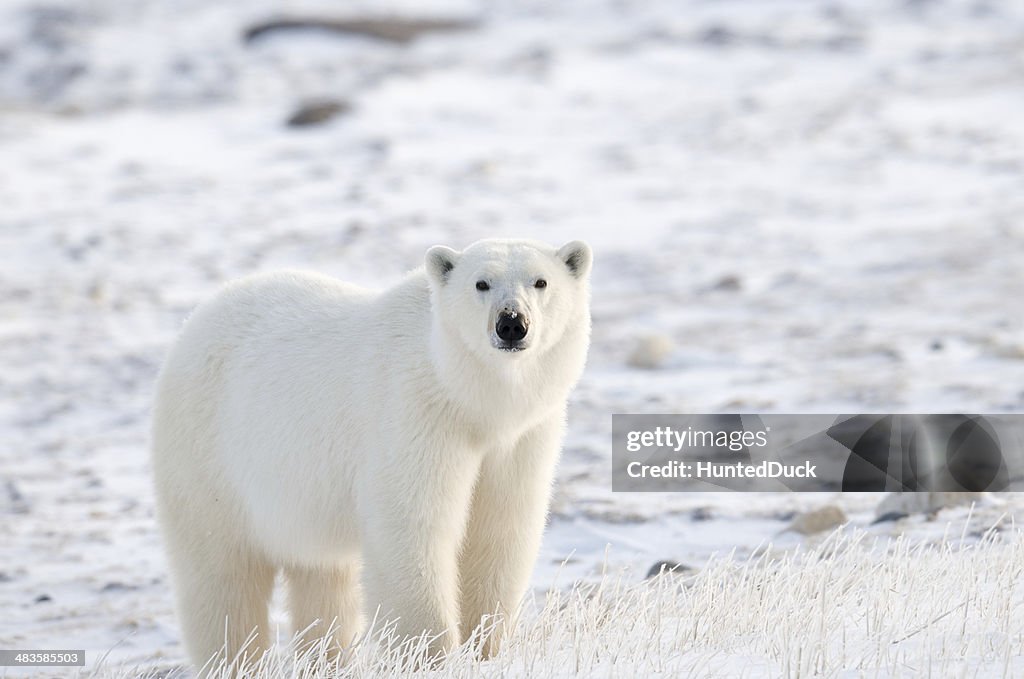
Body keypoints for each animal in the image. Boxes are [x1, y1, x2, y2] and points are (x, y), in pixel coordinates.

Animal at [148, 237, 589, 667]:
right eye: (481, 283)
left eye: (540, 282)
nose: (512, 323)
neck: (469, 399)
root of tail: (197, 319)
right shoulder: (414, 416)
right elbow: (413, 529)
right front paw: (430, 656)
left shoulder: (520, 438)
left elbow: (499, 530)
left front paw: (486, 649)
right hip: (208, 459)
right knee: (222, 578)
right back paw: (235, 660)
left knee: (323, 580)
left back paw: (326, 659)